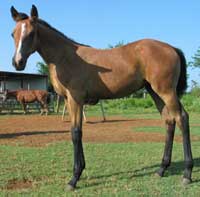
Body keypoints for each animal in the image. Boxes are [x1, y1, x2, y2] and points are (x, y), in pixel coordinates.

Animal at [10, 4, 194, 189]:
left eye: (31, 33)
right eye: (13, 34)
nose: (17, 63)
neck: (65, 57)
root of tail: (172, 48)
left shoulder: (75, 99)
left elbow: (76, 132)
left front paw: (74, 178)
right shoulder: (70, 101)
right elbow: (76, 131)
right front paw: (80, 171)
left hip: (166, 92)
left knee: (182, 118)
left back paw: (187, 173)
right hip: (154, 92)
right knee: (169, 121)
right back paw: (161, 169)